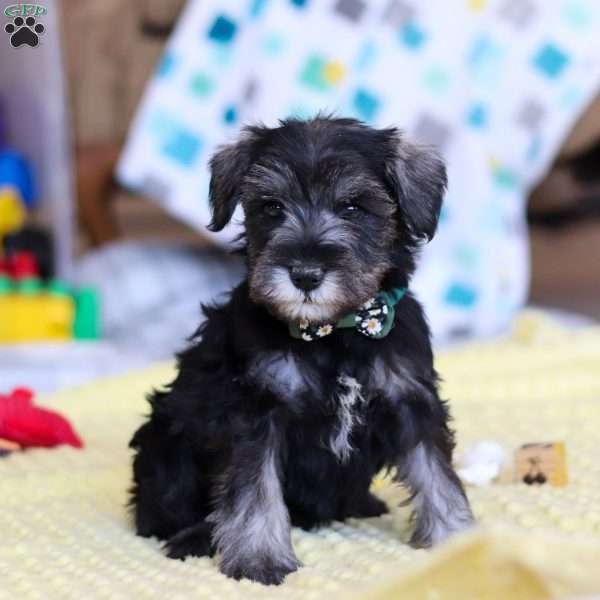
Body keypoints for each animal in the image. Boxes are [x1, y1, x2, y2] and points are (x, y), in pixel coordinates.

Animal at [130, 115, 474, 584]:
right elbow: (255, 490)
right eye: (272, 207)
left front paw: (458, 539)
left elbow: (436, 473)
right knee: (166, 513)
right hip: (165, 441)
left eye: (353, 207)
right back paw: (193, 538)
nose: (306, 274)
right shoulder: (258, 411)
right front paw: (259, 559)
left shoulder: (411, 400)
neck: (337, 330)